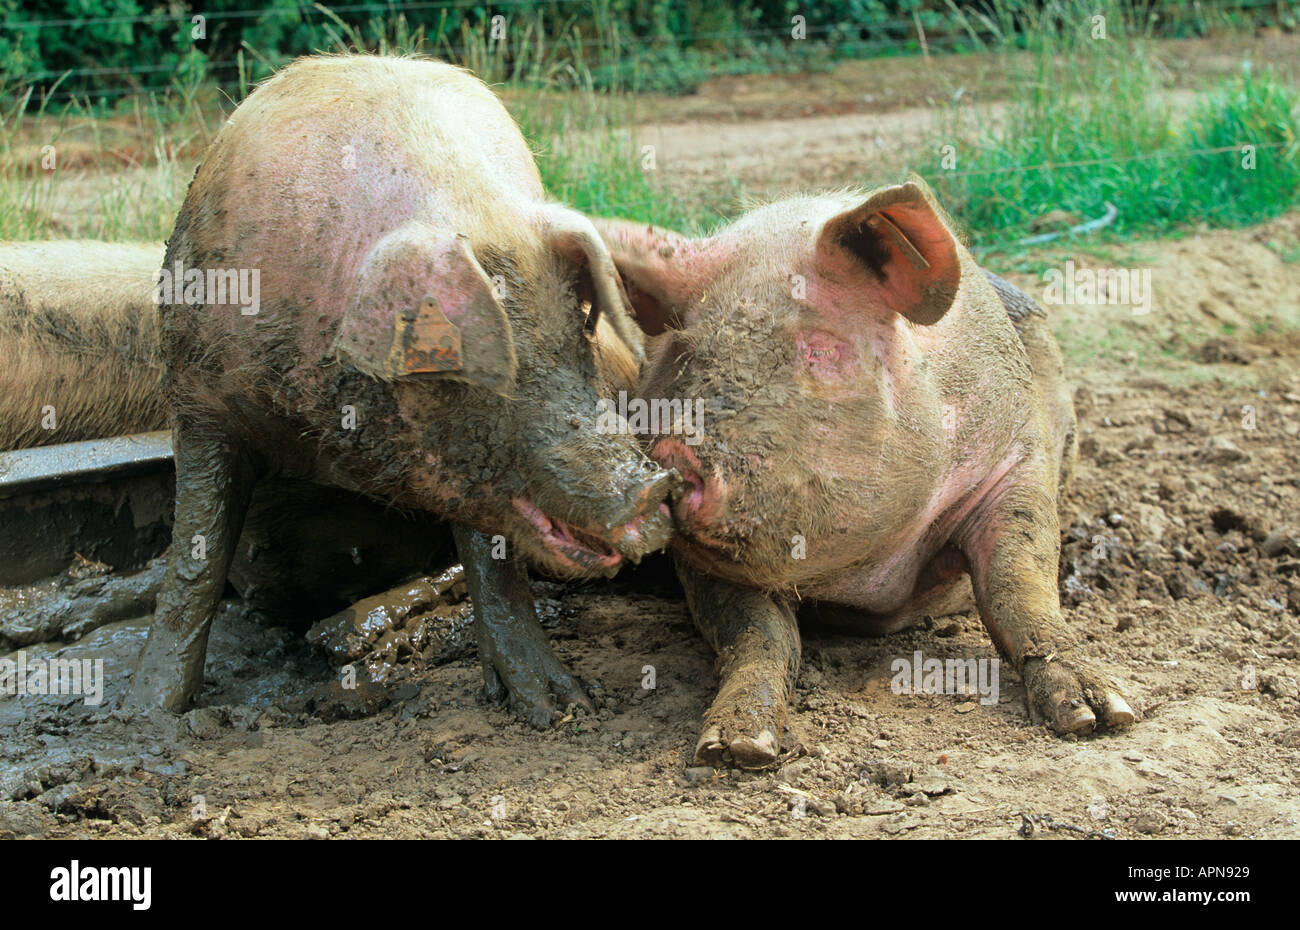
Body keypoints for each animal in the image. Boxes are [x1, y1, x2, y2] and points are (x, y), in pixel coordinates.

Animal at [126, 54, 677, 722]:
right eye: (471, 361)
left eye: (579, 331)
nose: (651, 487)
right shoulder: (198, 397)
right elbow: (194, 557)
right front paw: (147, 714)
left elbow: (495, 565)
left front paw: (561, 708)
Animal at [594, 178, 1135, 767]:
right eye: (688, 351)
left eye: (821, 348)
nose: (675, 454)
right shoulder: (701, 564)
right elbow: (760, 635)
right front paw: (736, 748)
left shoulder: (1013, 462)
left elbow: (1019, 585)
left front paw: (1099, 716)